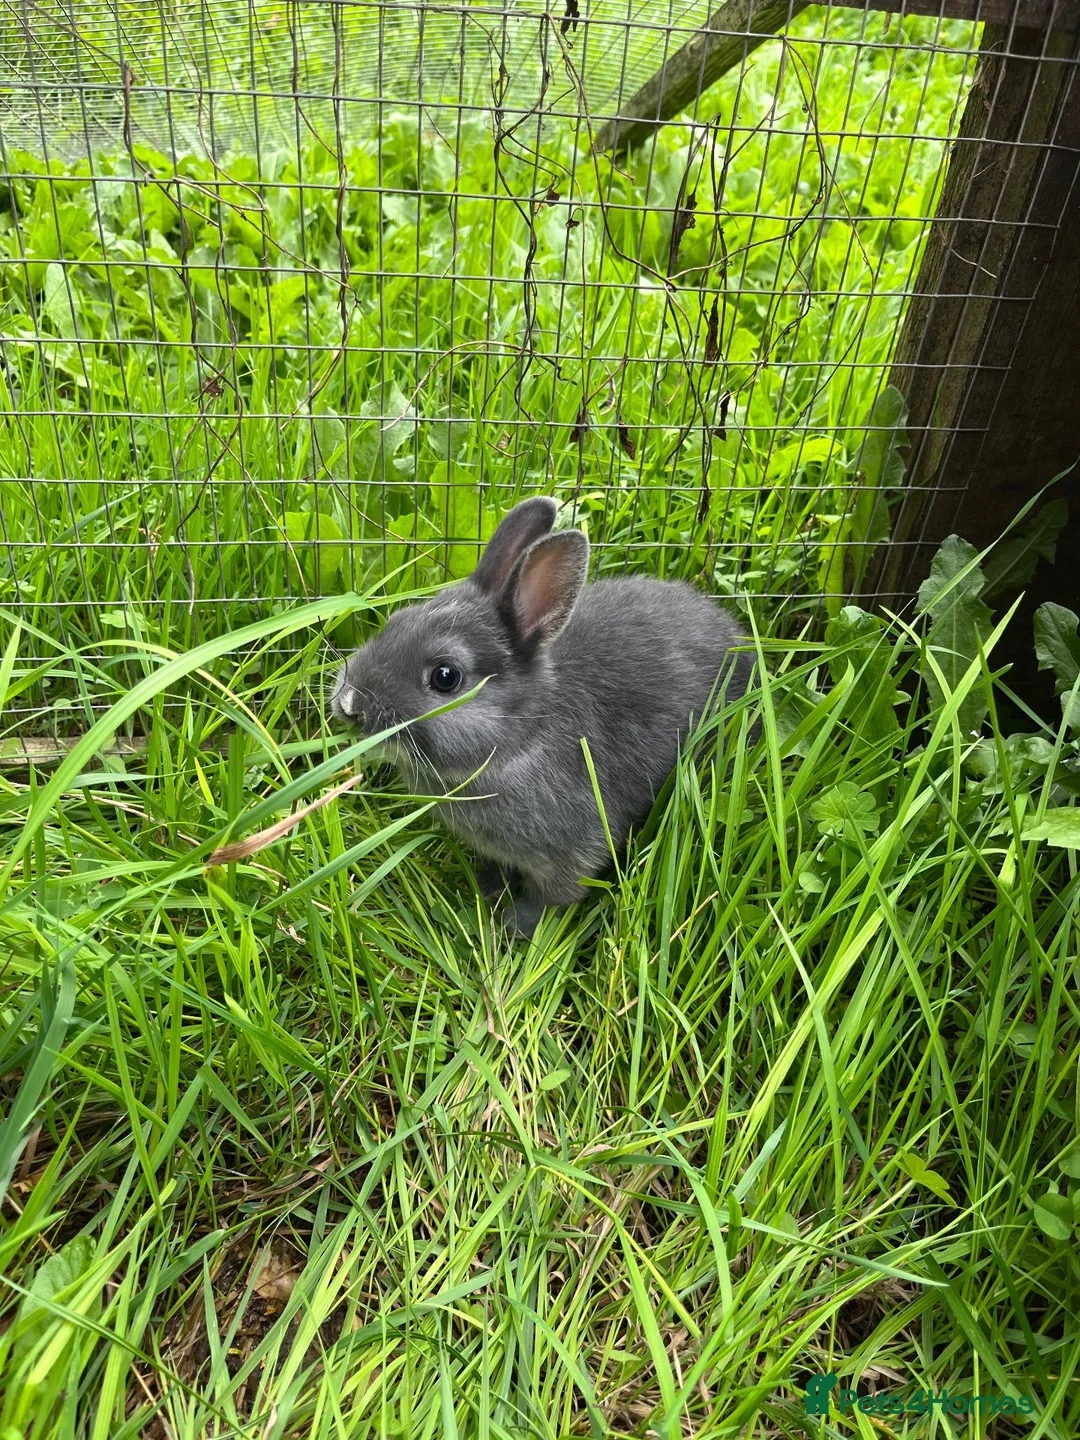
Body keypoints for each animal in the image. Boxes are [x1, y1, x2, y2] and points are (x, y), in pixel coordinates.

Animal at [331, 496, 754, 937]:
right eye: (395, 622)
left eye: (446, 677)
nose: (350, 704)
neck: (520, 739)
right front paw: (489, 888)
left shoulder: (572, 854)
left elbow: (550, 897)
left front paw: (516, 927)